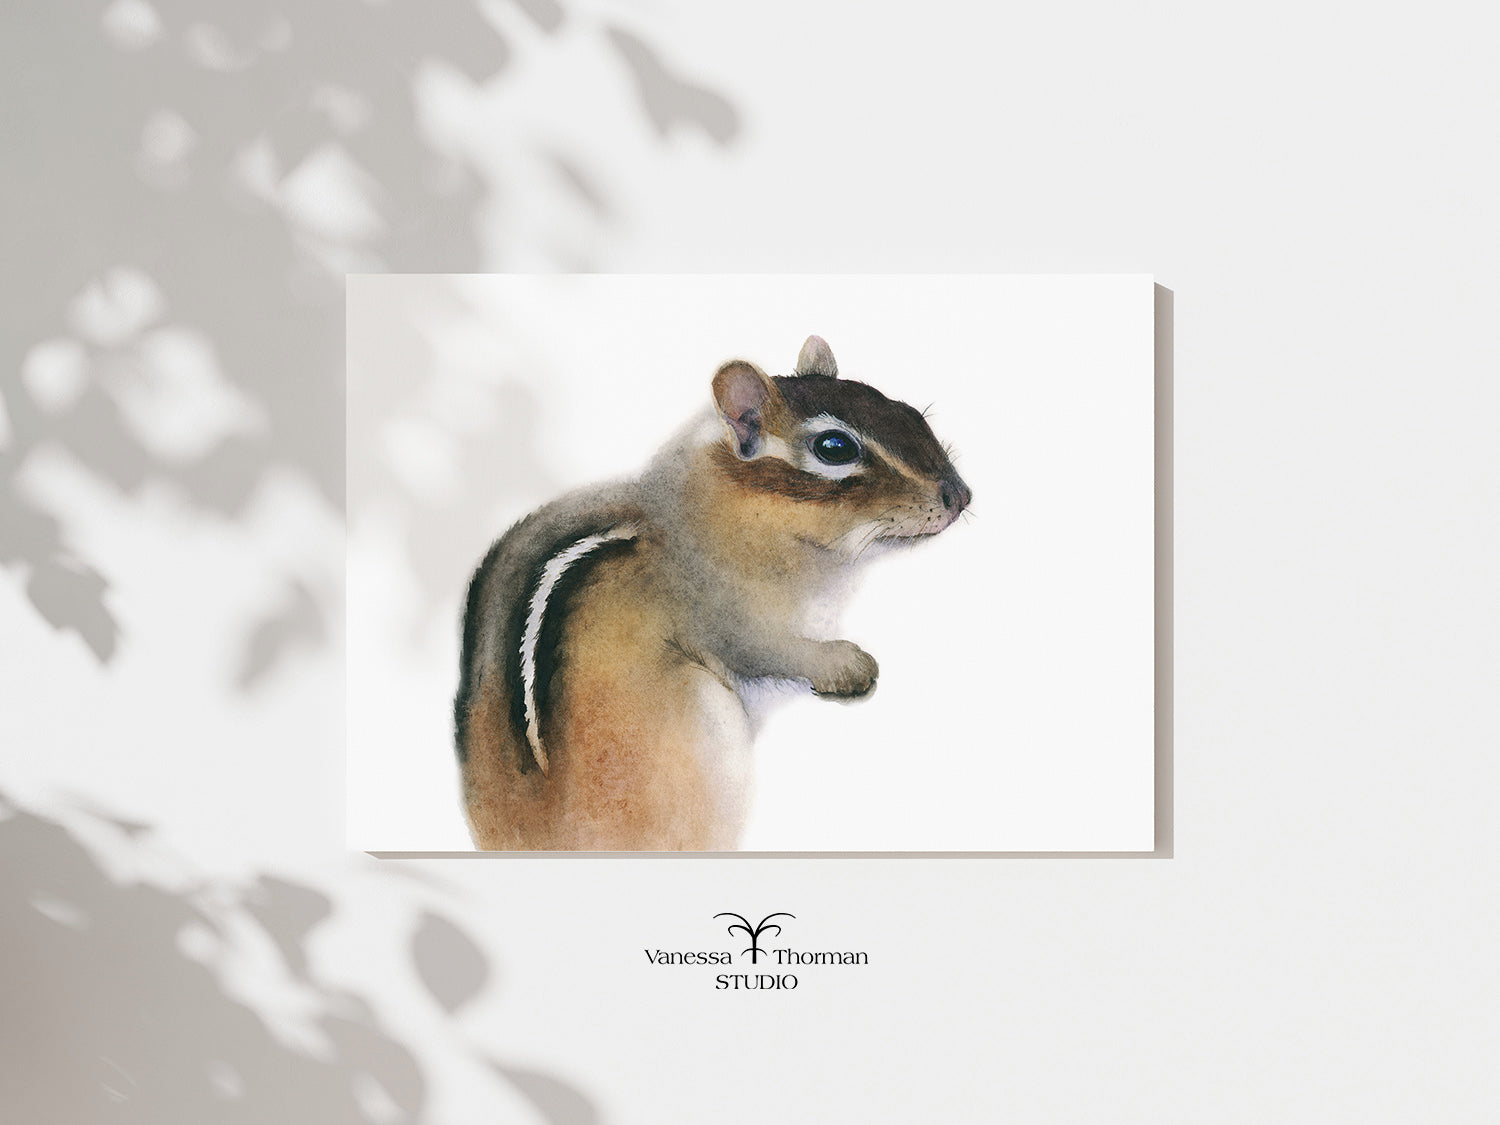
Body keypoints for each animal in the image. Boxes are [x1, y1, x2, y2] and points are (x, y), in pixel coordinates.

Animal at [454, 335, 971, 850]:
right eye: (834, 446)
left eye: (912, 412)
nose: (961, 495)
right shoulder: (723, 610)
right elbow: (769, 649)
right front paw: (844, 663)